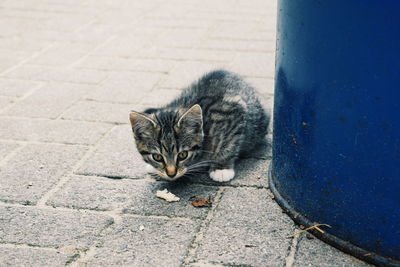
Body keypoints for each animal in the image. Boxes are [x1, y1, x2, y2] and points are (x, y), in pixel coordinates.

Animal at [130, 70, 270, 183]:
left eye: (183, 155)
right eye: (157, 157)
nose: (171, 174)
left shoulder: (231, 113)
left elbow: (229, 143)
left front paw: (221, 167)